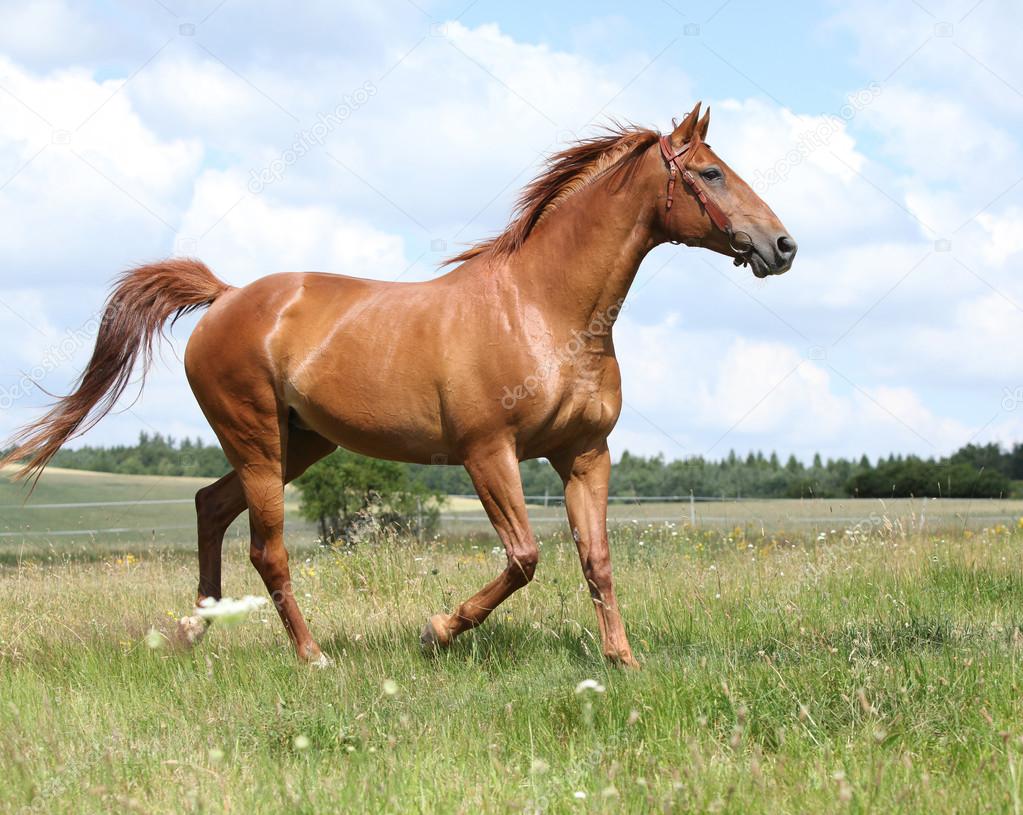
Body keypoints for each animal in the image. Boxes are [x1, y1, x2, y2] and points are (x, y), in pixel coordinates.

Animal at [3, 103, 793, 666]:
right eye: (712, 174)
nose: (782, 246)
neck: (542, 310)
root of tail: (225, 297)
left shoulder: (584, 456)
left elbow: (595, 560)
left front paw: (622, 660)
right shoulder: (487, 453)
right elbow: (524, 557)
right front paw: (436, 630)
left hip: (300, 443)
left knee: (208, 507)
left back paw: (194, 633)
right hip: (258, 442)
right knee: (267, 549)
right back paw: (312, 657)